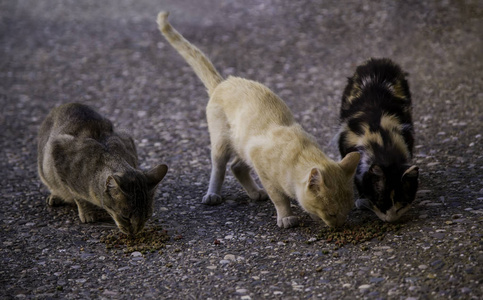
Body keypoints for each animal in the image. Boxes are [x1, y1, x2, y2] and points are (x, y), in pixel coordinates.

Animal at [37, 104, 168, 236]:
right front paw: (87, 213)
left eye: (147, 216)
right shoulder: (60, 156)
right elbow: (79, 197)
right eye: (125, 217)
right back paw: (55, 196)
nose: (134, 233)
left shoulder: (127, 139)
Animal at [157, 11, 362, 227]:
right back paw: (213, 195)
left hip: (242, 145)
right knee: (219, 168)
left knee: (236, 166)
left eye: (348, 210)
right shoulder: (263, 170)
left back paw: (255, 193)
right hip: (221, 143)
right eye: (331, 213)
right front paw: (286, 217)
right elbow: (279, 198)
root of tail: (224, 82)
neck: (300, 153)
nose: (340, 226)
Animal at [336, 58, 420, 221]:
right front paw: (362, 200)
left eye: (401, 204)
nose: (391, 220)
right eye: (381, 202)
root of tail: (378, 60)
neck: (383, 141)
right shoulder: (346, 142)